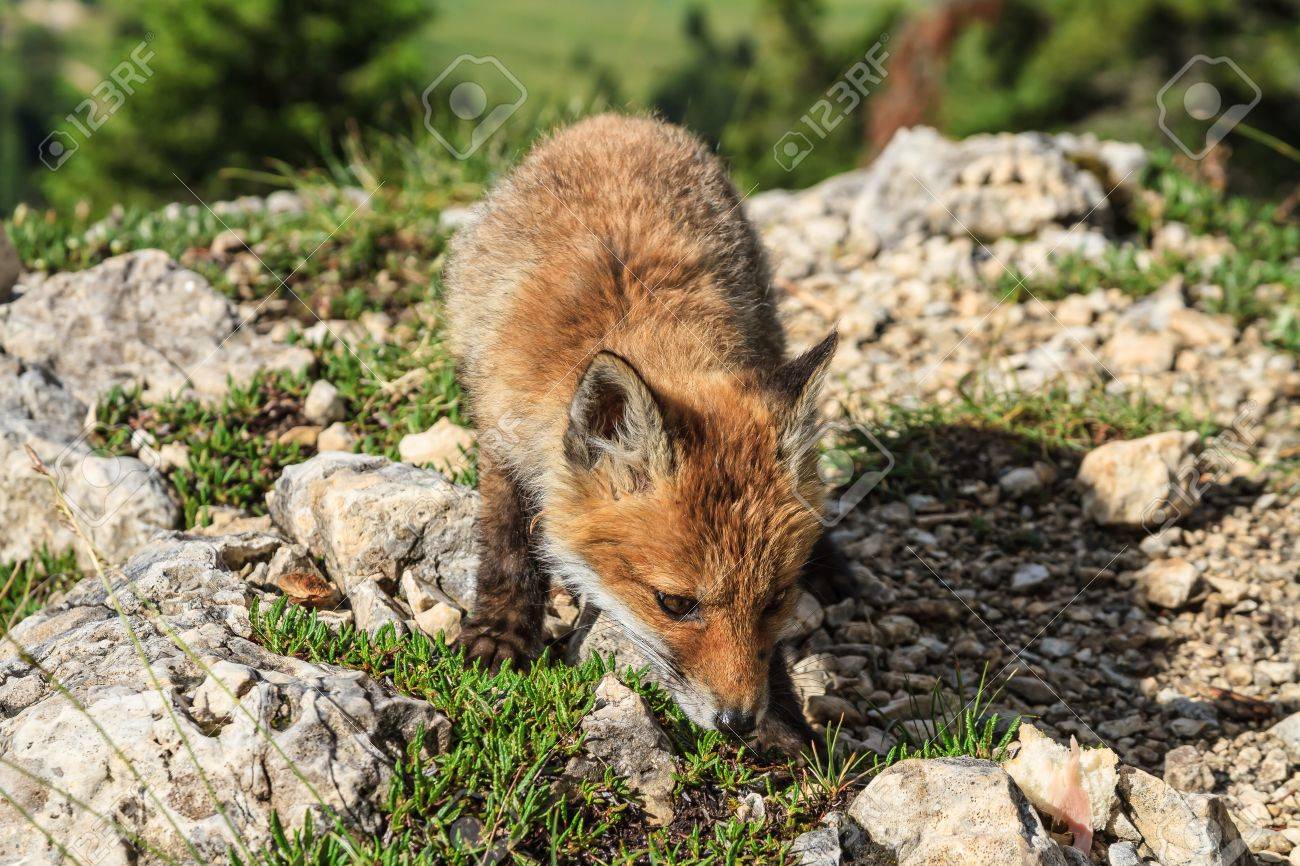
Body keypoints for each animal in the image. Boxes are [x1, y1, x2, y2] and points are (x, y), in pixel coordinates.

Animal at [443, 113, 855, 747]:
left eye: (775, 602)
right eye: (673, 603)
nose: (737, 722)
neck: (635, 317)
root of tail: (621, 120)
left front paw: (783, 718)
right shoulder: (501, 427)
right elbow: (506, 537)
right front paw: (501, 629)